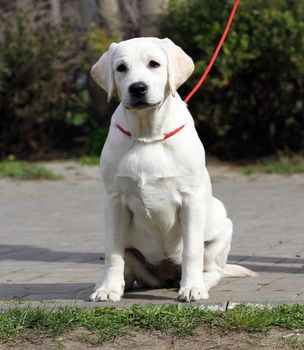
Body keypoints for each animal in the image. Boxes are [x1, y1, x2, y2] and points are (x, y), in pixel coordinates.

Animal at [89, 37, 254, 302]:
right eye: (121, 68)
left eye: (154, 64)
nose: (137, 88)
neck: (148, 135)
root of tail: (165, 276)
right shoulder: (114, 200)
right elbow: (113, 252)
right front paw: (107, 289)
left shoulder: (191, 199)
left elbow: (191, 251)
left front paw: (192, 288)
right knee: (128, 266)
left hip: (221, 226)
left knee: (214, 270)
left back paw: (200, 283)